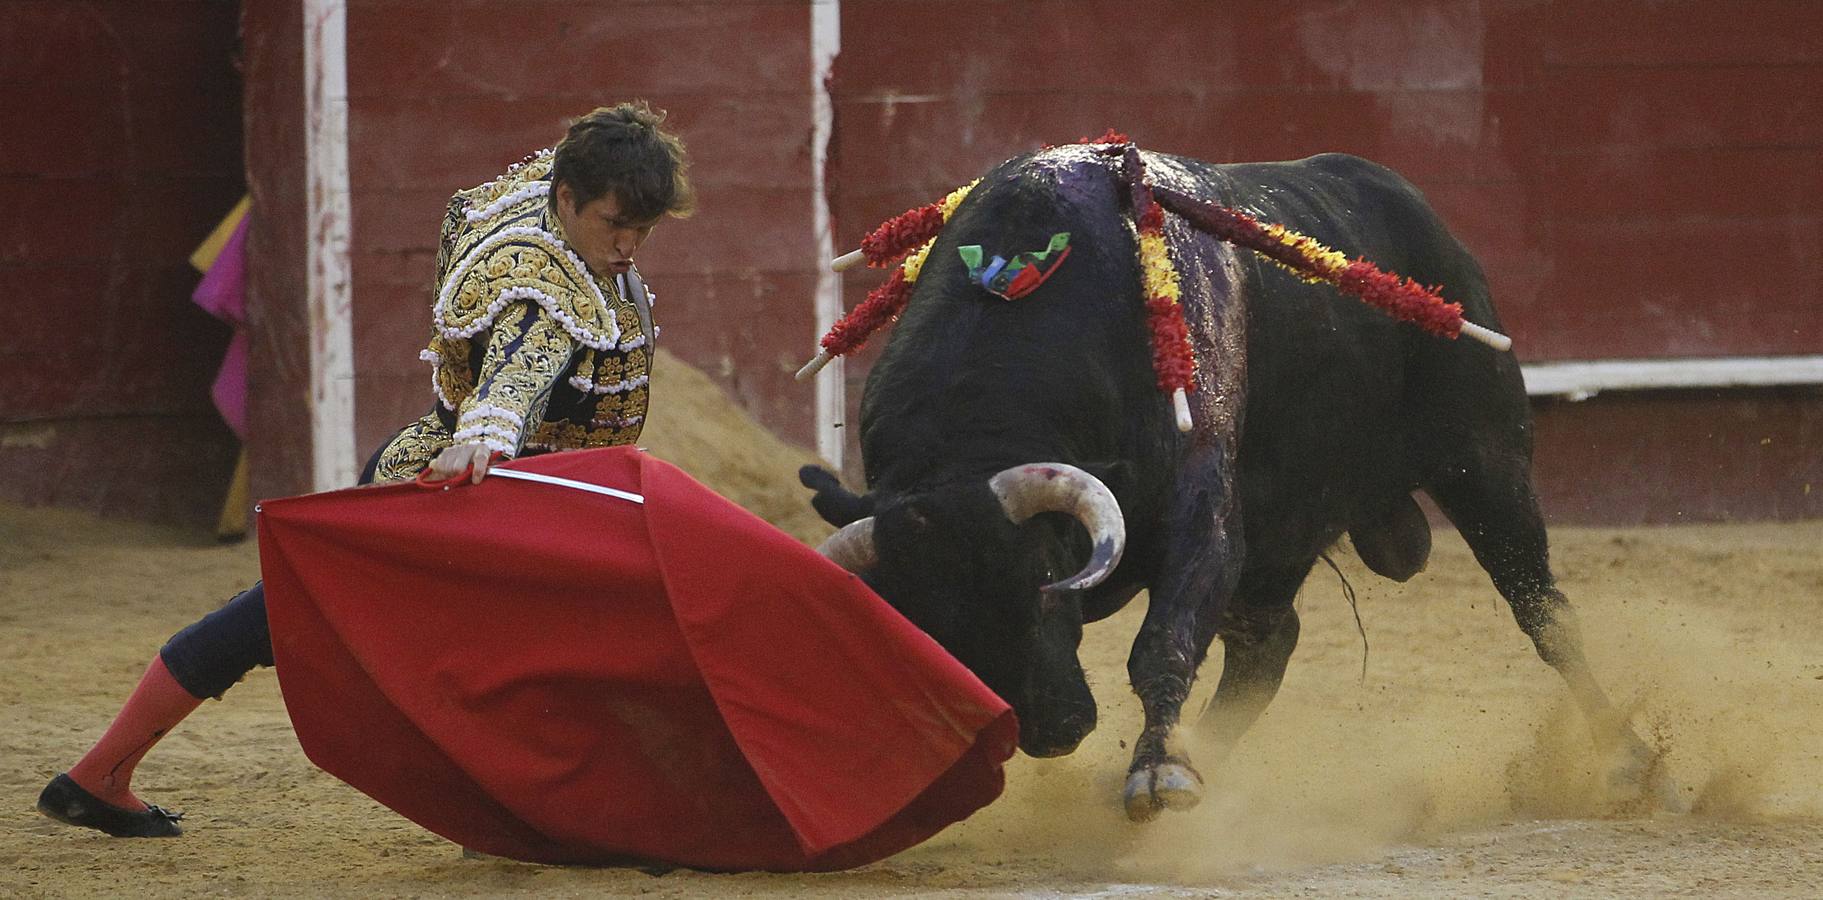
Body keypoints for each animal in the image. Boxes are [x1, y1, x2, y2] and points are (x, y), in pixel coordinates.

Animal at [805, 147, 1669, 823]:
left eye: (1044, 577)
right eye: (930, 624)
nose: (1056, 729)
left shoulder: (1204, 514)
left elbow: (1162, 641)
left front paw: (1159, 772)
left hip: (1484, 462)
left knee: (1543, 611)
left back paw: (1628, 763)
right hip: (1287, 532)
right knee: (1265, 647)